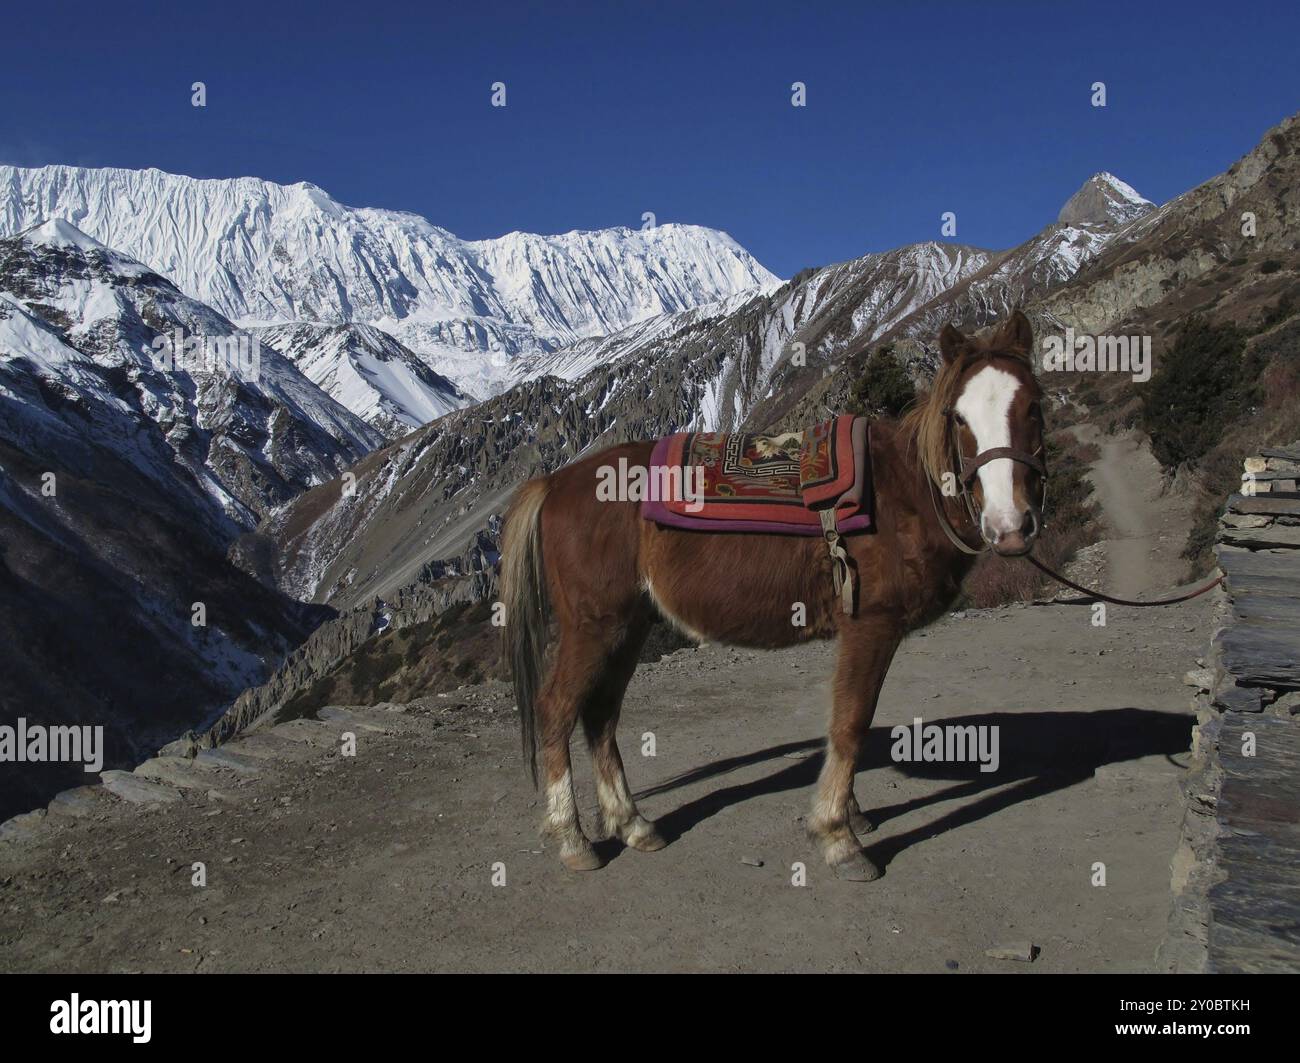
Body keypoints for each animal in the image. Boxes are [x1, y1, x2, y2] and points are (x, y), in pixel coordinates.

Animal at [496, 306, 1045, 878]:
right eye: (958, 417)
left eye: (1034, 405)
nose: (1010, 526)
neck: (905, 493)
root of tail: (555, 482)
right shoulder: (872, 625)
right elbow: (851, 722)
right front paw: (839, 837)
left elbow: (842, 719)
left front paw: (851, 815)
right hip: (593, 626)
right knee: (557, 708)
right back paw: (573, 839)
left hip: (629, 627)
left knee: (600, 716)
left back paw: (634, 826)